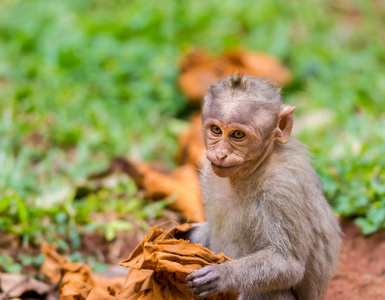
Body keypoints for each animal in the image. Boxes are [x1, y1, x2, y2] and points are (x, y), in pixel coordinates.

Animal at [185, 75, 340, 300]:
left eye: (237, 135)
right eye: (216, 130)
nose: (221, 154)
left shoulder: (283, 187)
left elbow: (288, 263)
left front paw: (222, 274)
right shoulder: (209, 173)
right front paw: (183, 235)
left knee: (264, 290)